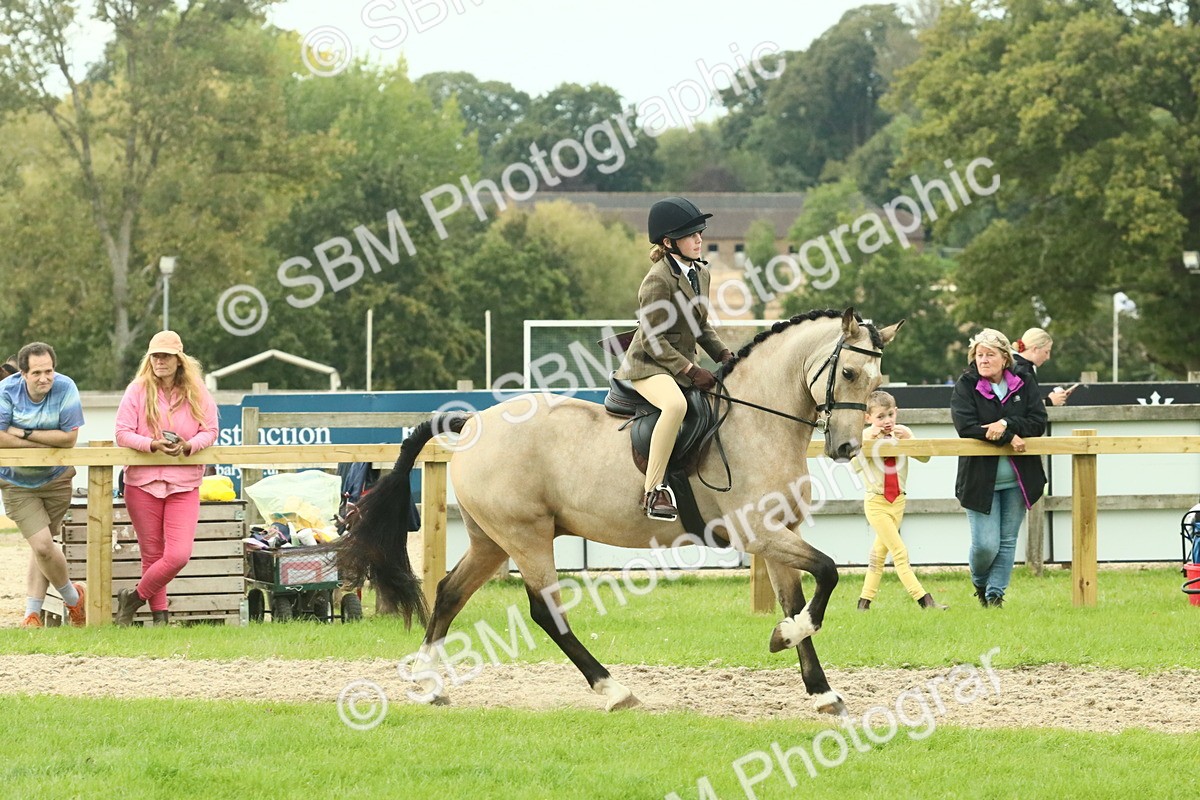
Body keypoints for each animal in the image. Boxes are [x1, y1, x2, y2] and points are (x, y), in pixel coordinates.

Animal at [338, 308, 903, 714]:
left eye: (877, 380)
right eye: (848, 371)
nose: (846, 448)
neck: (756, 423)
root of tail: (473, 424)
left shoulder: (779, 532)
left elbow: (798, 599)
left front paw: (820, 688)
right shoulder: (758, 532)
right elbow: (828, 574)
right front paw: (785, 639)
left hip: (491, 540)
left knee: (450, 593)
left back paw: (428, 684)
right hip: (526, 536)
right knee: (546, 613)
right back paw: (614, 690)